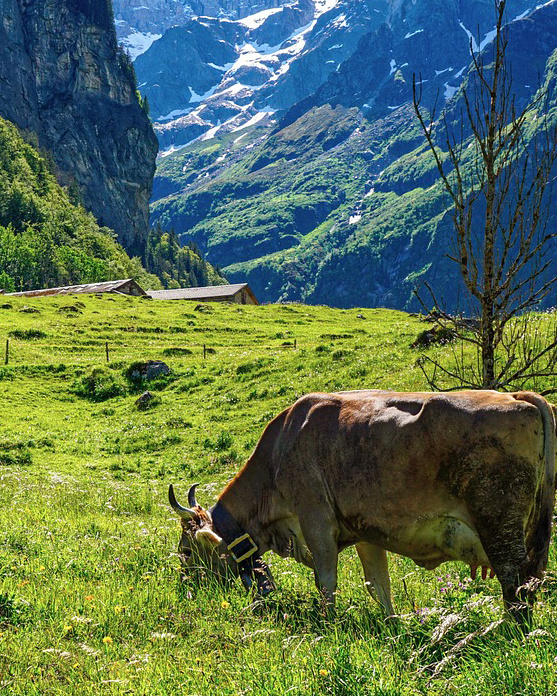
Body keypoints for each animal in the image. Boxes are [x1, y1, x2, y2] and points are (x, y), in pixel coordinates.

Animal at [169, 390, 555, 624]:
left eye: (186, 550)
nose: (184, 587)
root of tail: (517, 396)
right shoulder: (367, 531)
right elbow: (377, 585)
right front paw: (392, 626)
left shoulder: (316, 521)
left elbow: (326, 580)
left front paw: (328, 625)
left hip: (498, 526)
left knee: (514, 582)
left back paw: (511, 632)